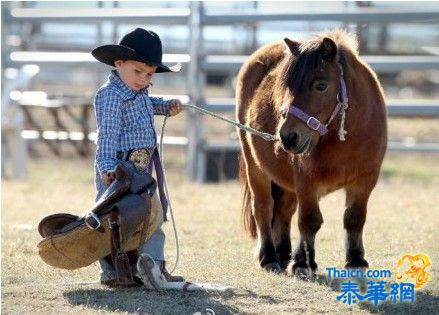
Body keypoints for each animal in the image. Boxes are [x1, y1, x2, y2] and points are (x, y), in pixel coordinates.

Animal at [237, 30, 388, 276]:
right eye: (287, 86)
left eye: (321, 85)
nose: (288, 136)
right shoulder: (307, 181)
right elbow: (310, 220)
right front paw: (303, 263)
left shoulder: (365, 180)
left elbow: (354, 218)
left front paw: (356, 259)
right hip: (255, 167)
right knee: (263, 207)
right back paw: (269, 257)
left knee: (284, 211)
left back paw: (284, 253)